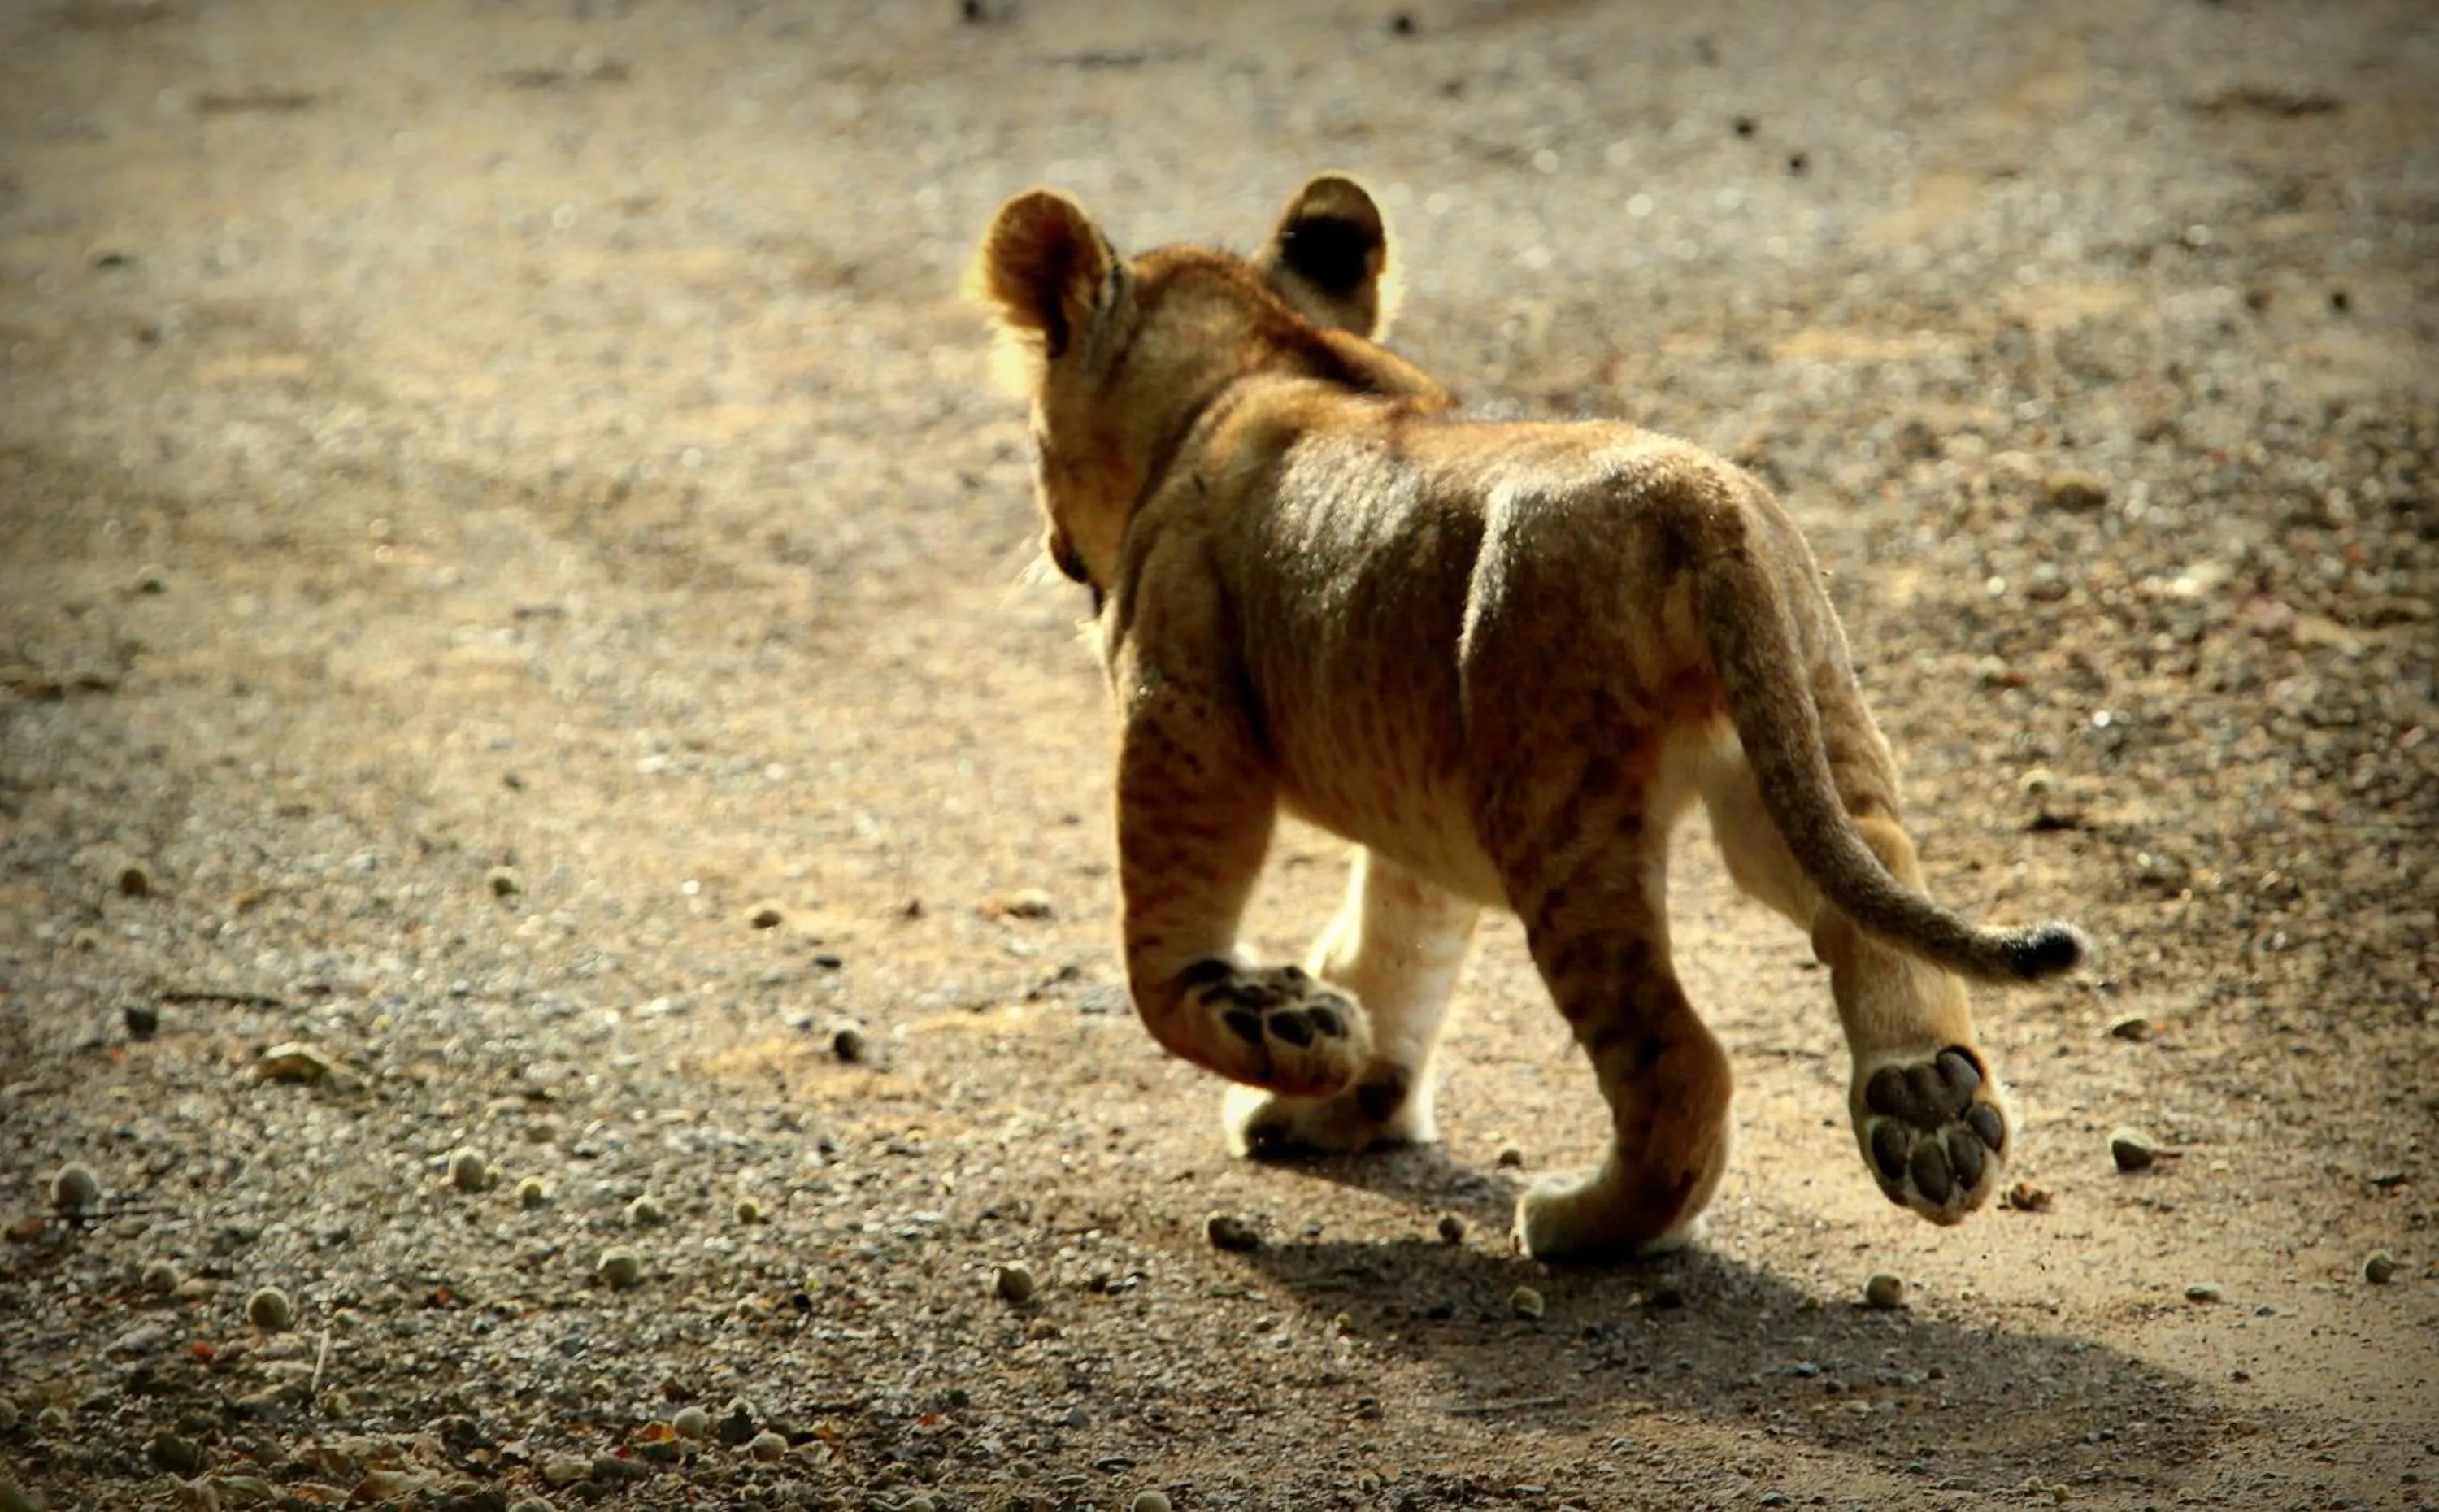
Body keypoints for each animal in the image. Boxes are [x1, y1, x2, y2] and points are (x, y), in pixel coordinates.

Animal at [969, 172, 2085, 1261]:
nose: (1052, 544)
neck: (1255, 367)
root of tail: (1689, 491)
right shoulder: (1418, 804)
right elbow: (1396, 950)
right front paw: (1349, 1093)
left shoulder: (1184, 708)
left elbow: (1163, 943)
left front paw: (1287, 1031)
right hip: (1797, 730)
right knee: (1874, 894)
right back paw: (1932, 1113)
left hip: (1552, 803)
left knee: (1680, 1059)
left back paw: (1582, 1226)